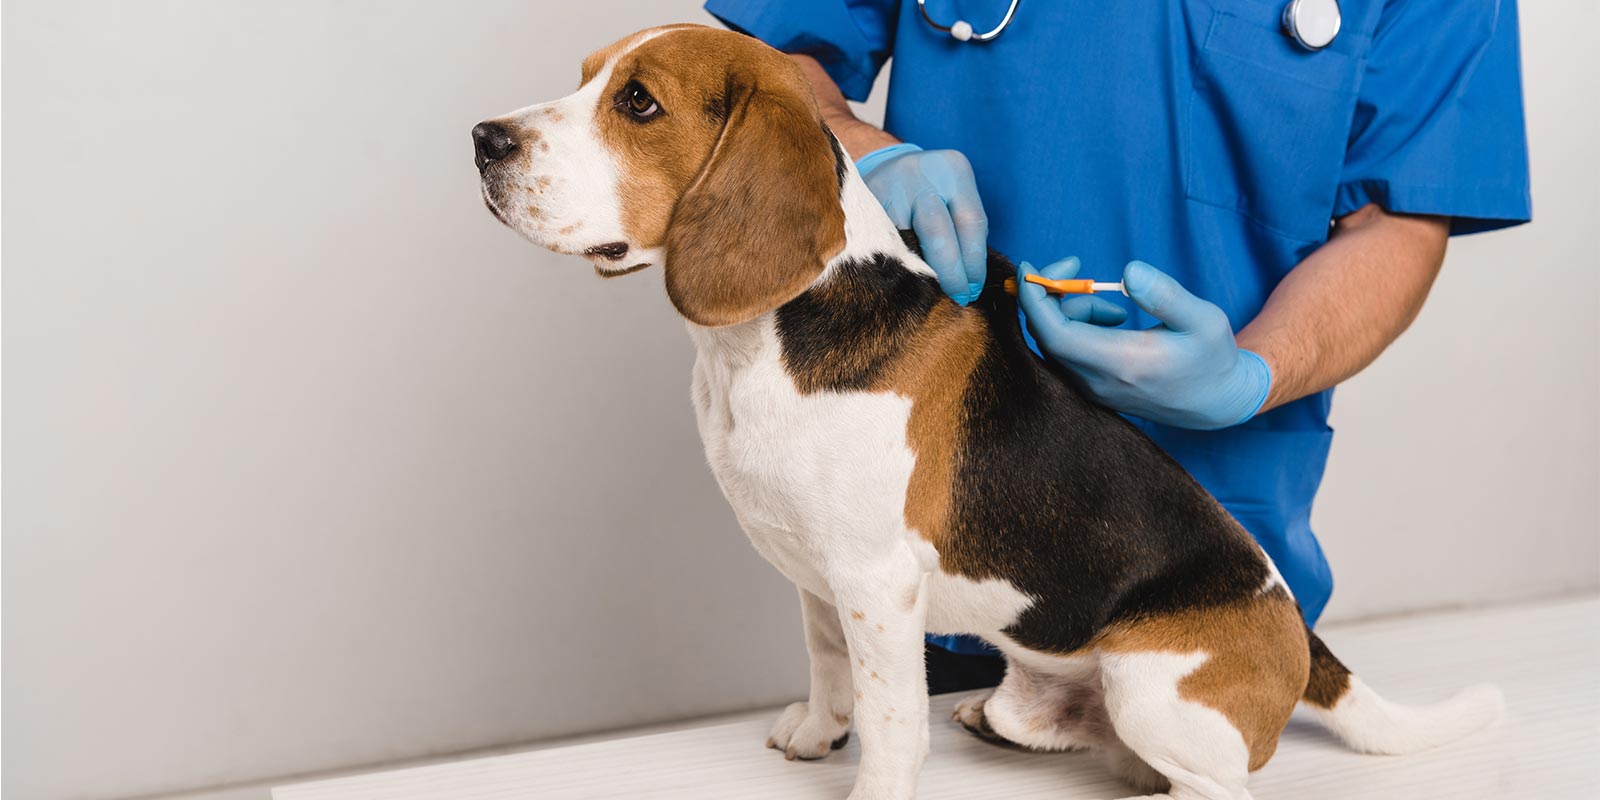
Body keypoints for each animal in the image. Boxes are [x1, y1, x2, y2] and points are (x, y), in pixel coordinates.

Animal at [467, 25, 1504, 800]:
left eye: (639, 103)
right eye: (587, 79)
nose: (482, 137)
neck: (762, 341)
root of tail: (1298, 634)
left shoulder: (876, 583)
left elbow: (891, 722)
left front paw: (872, 786)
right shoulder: (816, 577)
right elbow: (827, 664)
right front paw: (818, 731)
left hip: (1150, 686)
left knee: (1216, 783)